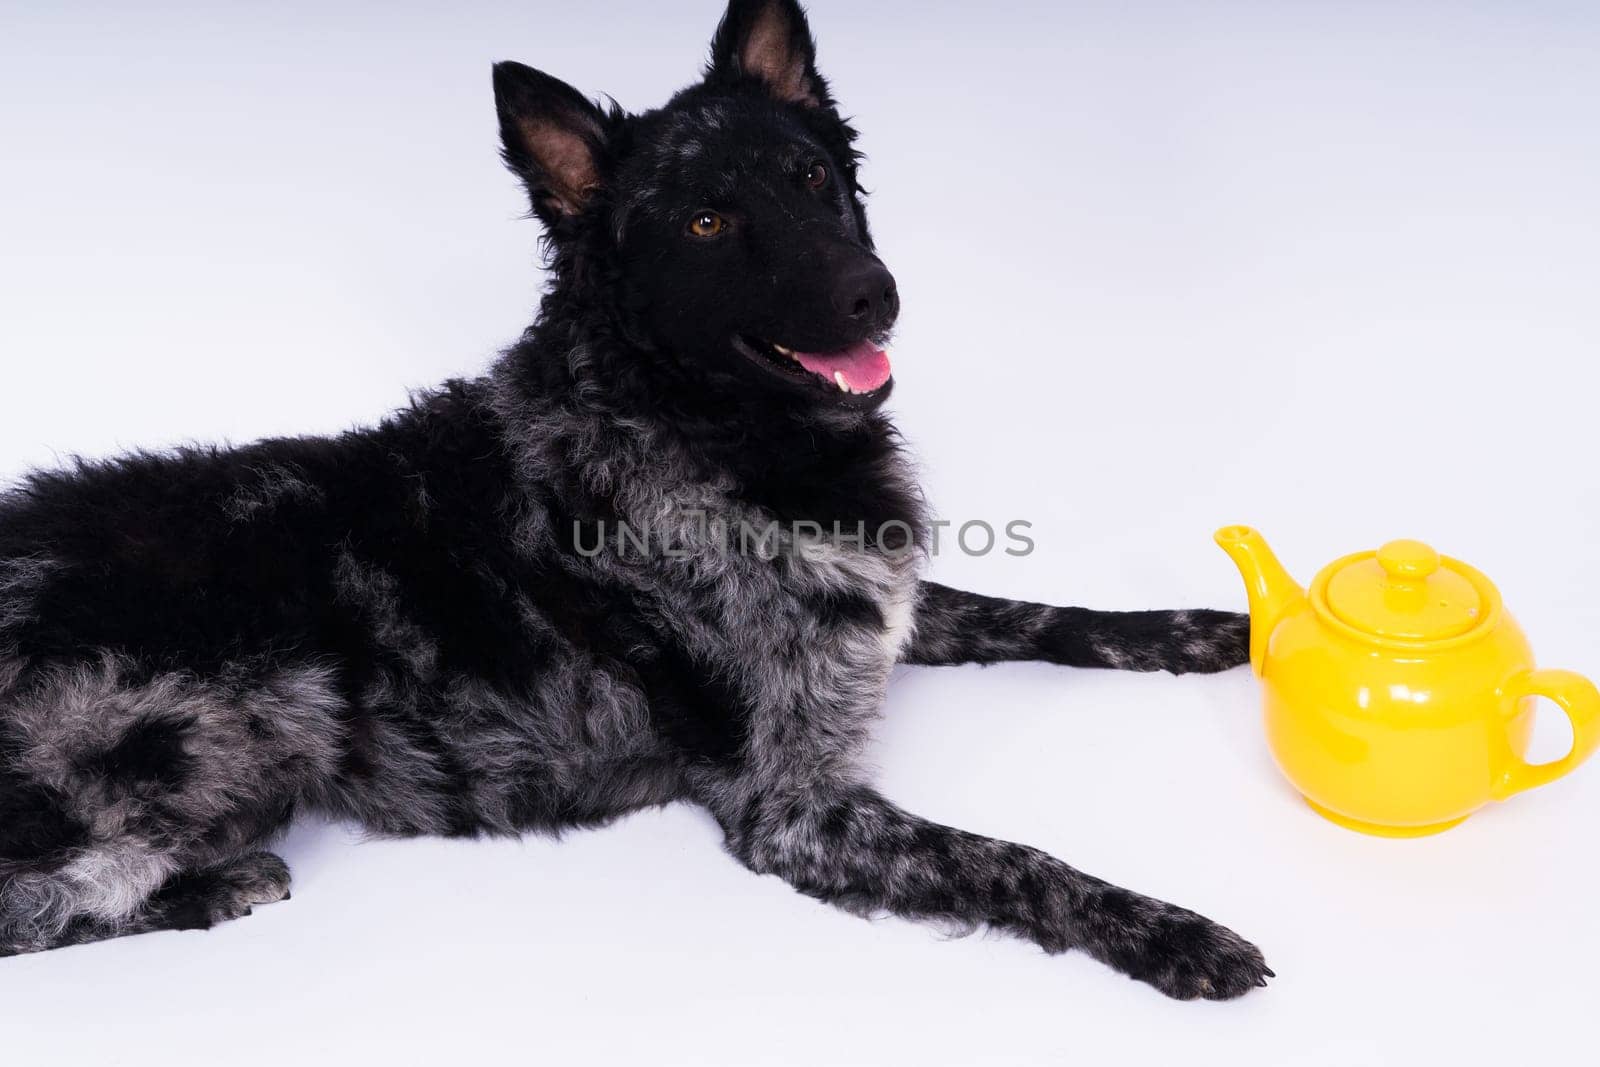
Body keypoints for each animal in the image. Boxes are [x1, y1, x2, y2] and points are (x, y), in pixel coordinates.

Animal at [3, 2, 1273, 1004]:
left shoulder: (881, 605)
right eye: (706, 222)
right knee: (38, 905)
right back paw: (214, 884)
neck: (694, 425)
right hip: (246, 714)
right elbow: (1010, 857)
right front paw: (1168, 929)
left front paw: (1213, 630)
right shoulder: (793, 805)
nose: (876, 295)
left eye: (813, 179)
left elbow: (1034, 610)